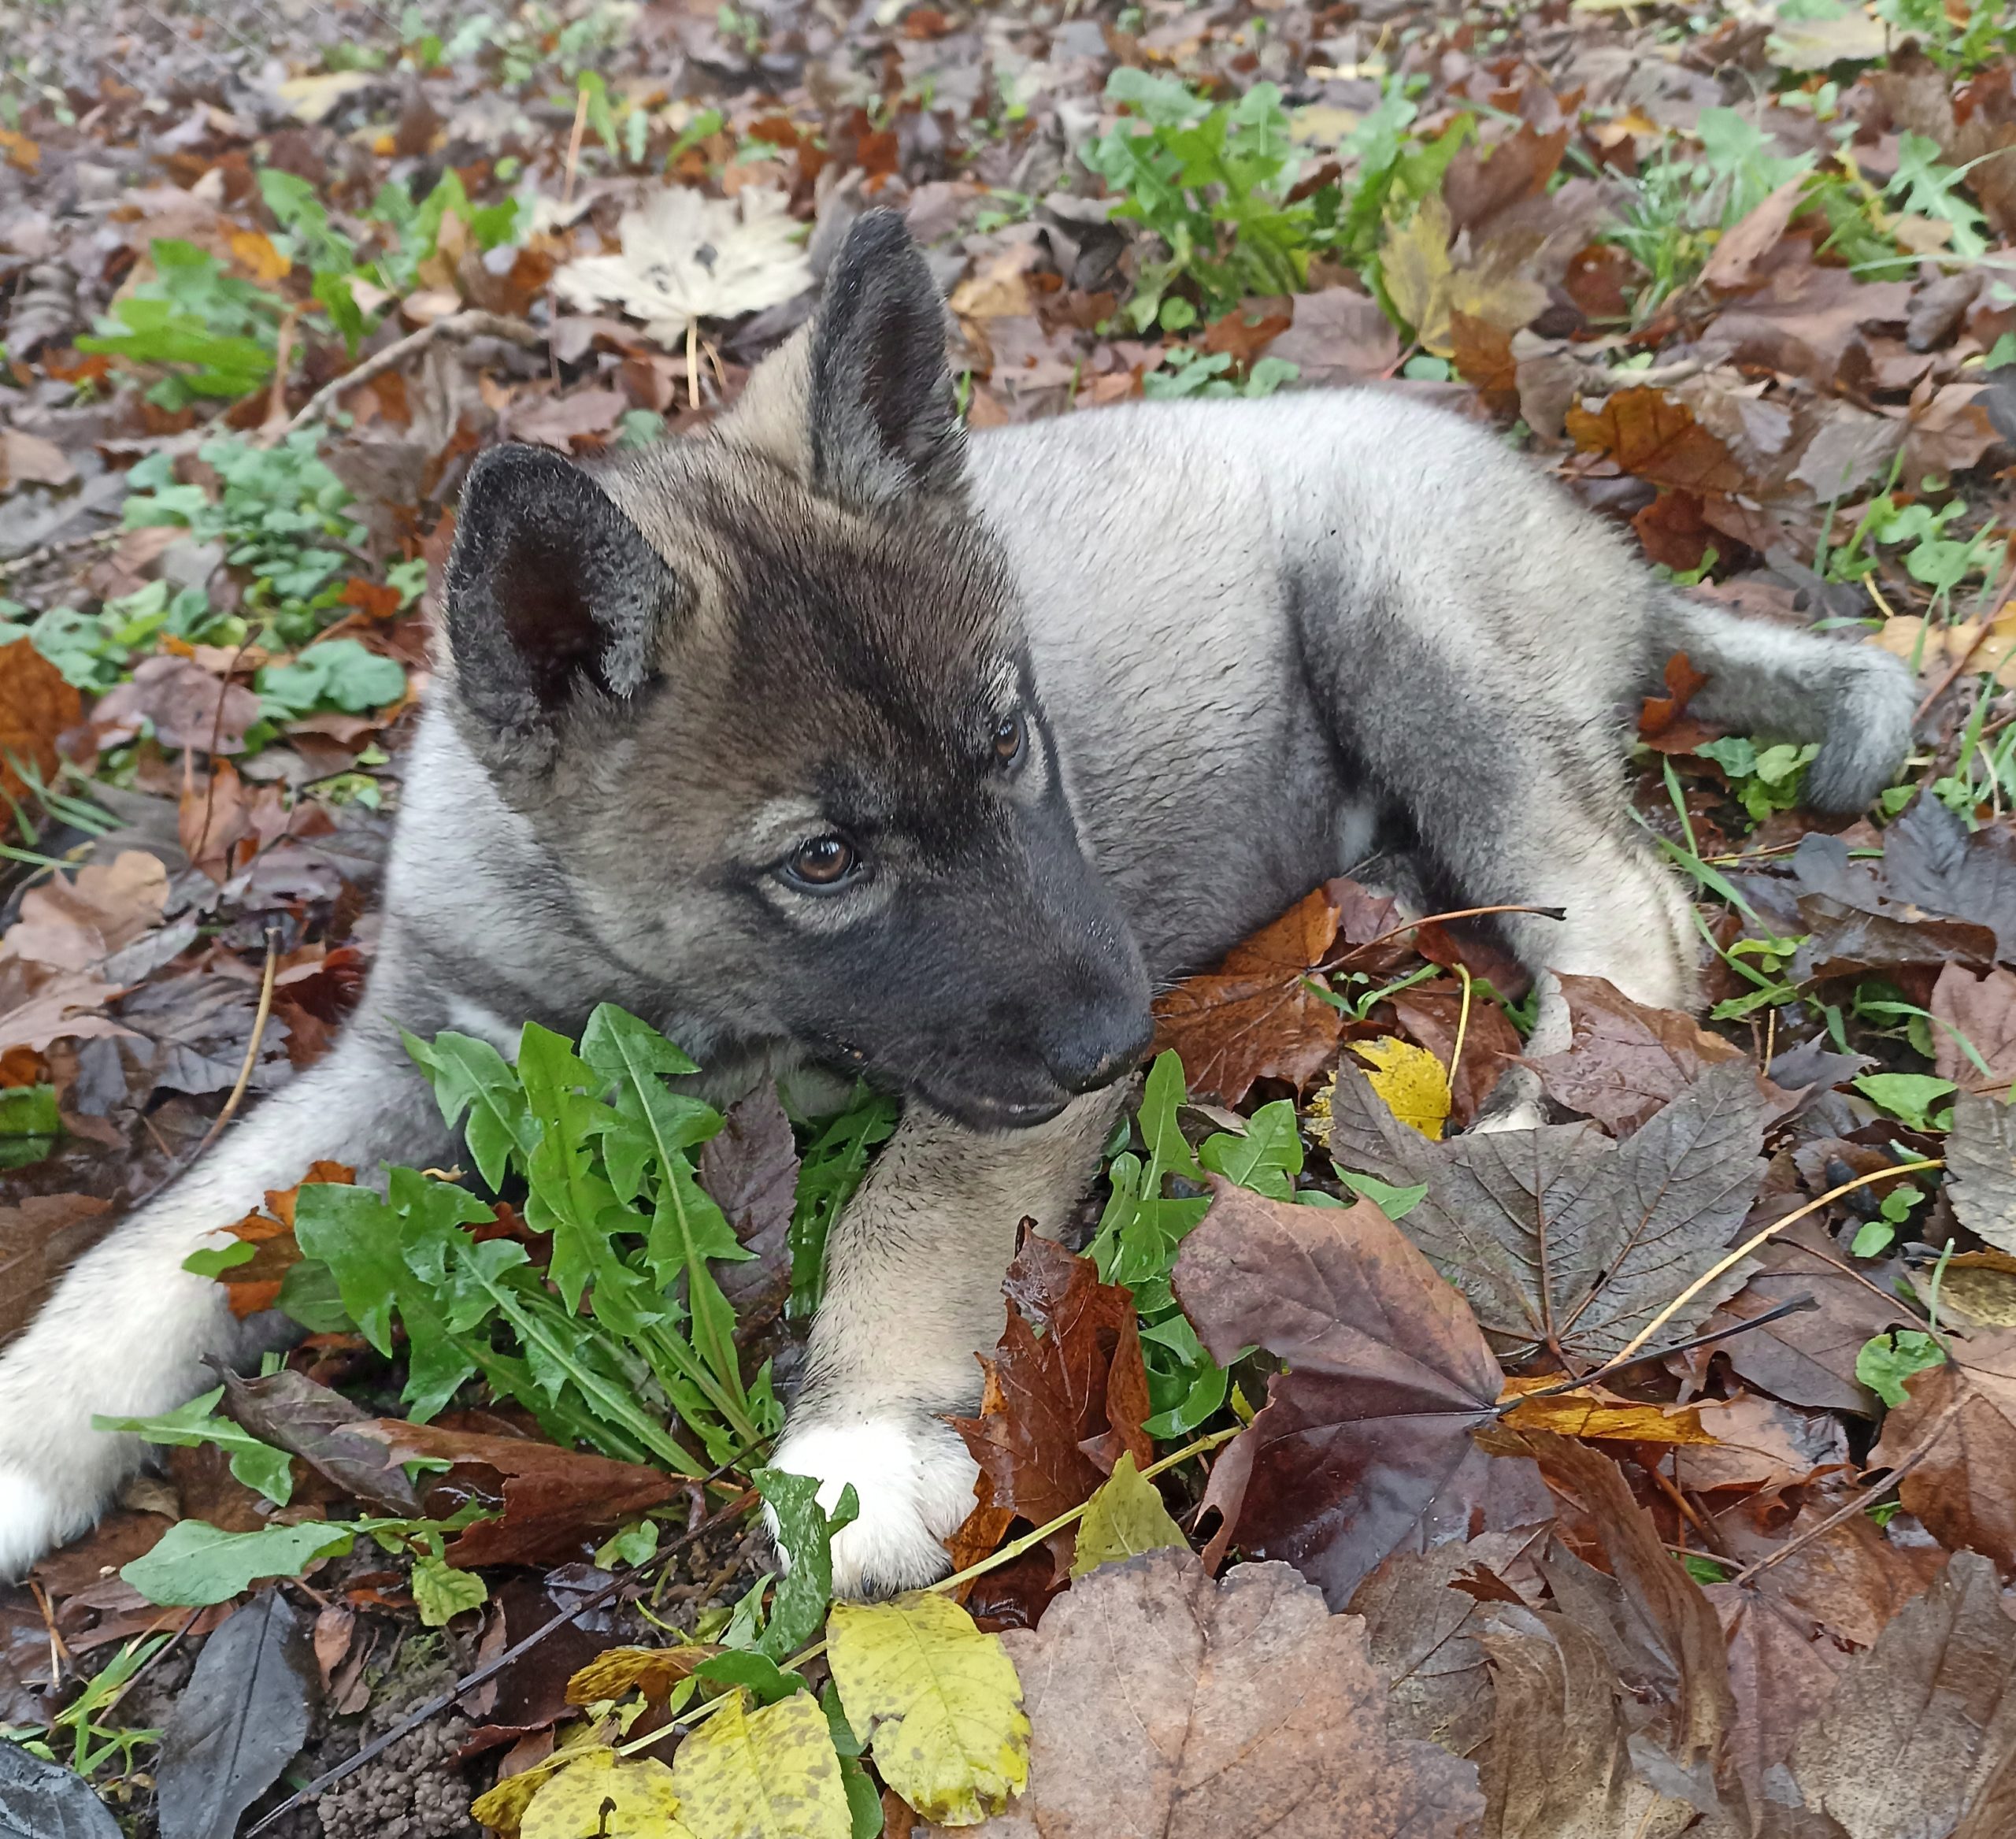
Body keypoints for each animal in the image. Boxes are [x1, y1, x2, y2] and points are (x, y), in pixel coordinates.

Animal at [0, 211, 1903, 1596]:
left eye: (1010, 740)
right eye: (826, 861)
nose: (1130, 1032)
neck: (679, 990)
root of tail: (1611, 556)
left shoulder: (1000, 1088)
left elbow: (906, 1207)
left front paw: (854, 1445)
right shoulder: (413, 1056)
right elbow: (177, 1225)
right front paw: (34, 1421)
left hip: (1411, 622)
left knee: (1627, 908)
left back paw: (1534, 1136)